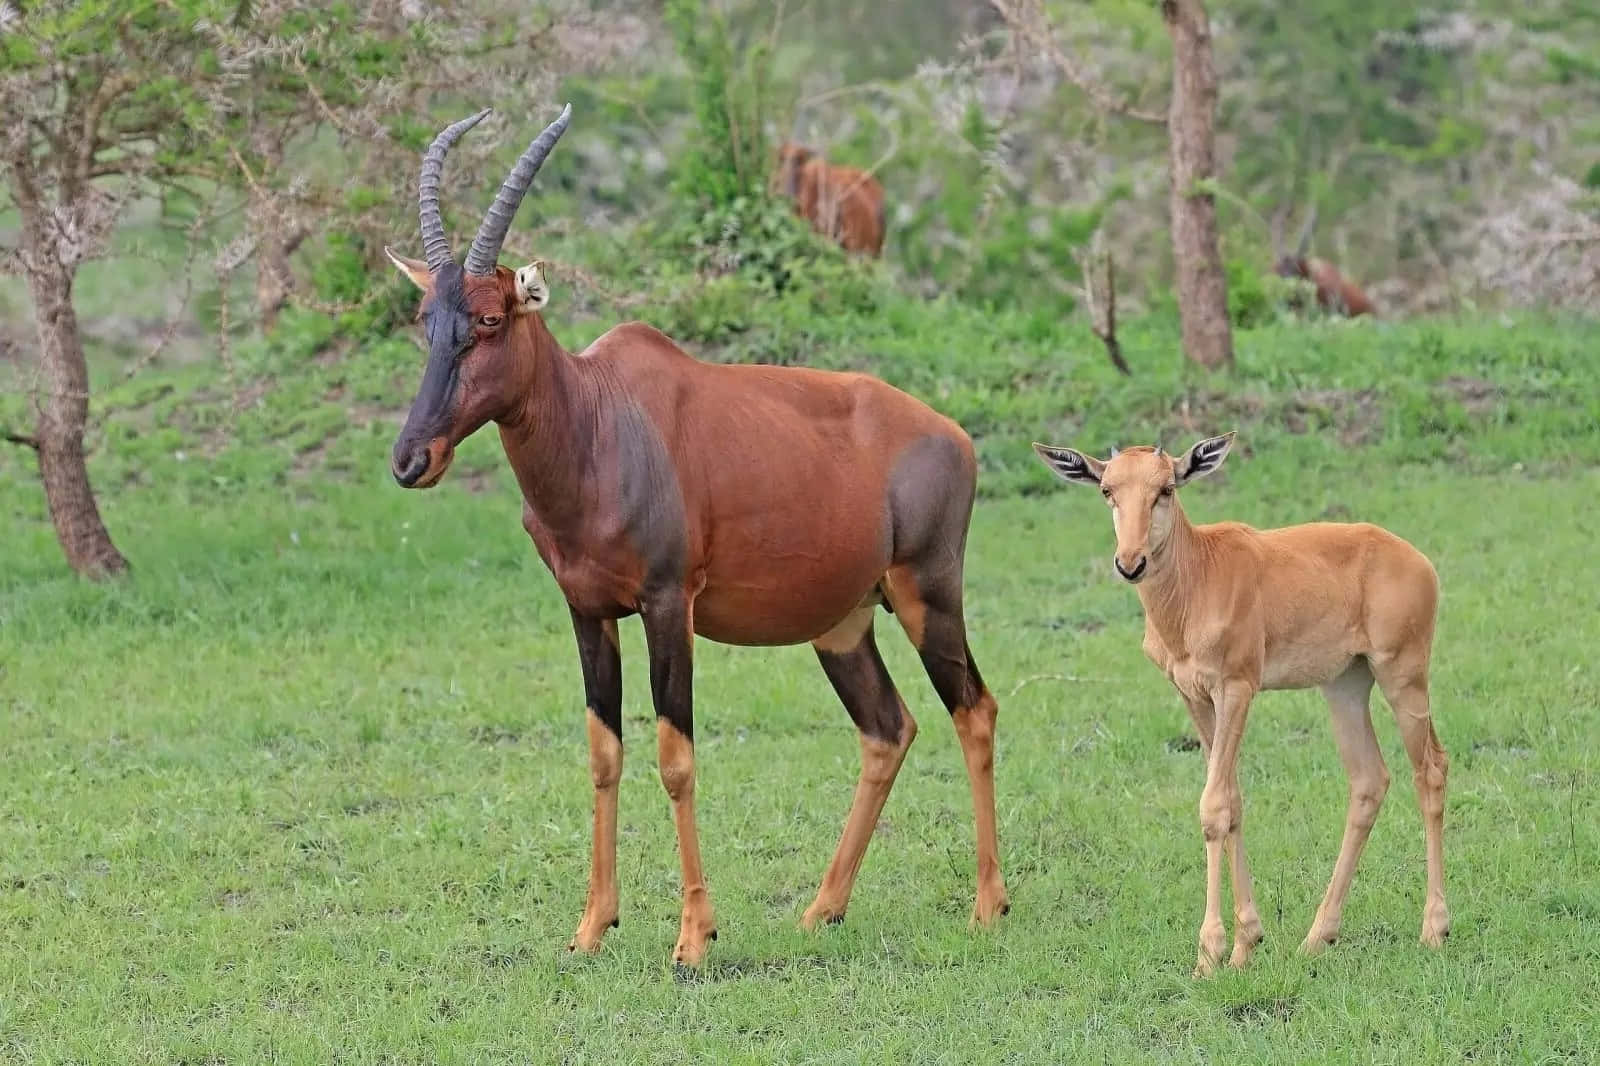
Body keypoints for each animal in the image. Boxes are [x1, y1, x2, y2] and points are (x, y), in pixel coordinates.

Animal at [382, 105, 1004, 960]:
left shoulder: (668, 604)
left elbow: (675, 756)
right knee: (888, 728)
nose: (413, 459)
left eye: (489, 318)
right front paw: (591, 927)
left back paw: (987, 906)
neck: (601, 416)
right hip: (844, 623)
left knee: (974, 710)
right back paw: (822, 909)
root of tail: (952, 435)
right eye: (426, 320)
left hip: (927, 594)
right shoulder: (587, 613)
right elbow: (603, 751)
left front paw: (694, 938)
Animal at [1030, 428, 1446, 973]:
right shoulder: (1194, 697)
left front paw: (1210, 952)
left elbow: (1213, 807)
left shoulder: (1237, 688)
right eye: (1107, 490)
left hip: (1403, 675)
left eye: (1166, 488)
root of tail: (1418, 561)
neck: (1199, 576)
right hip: (1345, 685)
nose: (1130, 563)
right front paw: (1248, 941)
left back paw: (1434, 928)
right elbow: (1232, 800)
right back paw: (1318, 936)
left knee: (1430, 771)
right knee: (1369, 781)